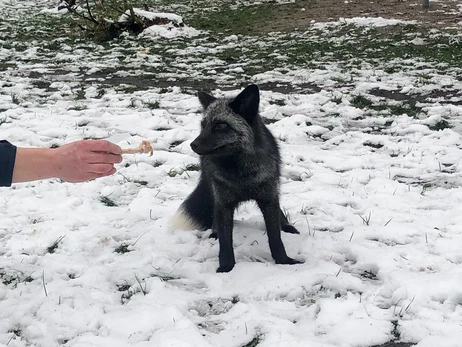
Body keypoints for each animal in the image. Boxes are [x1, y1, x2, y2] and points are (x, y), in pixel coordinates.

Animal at [171, 85, 302, 274]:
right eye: (203, 125)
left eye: (221, 125)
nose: (193, 145)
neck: (241, 174)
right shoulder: (224, 203)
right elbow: (226, 242)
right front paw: (226, 267)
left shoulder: (268, 198)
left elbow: (275, 237)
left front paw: (283, 261)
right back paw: (214, 232)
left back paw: (287, 226)